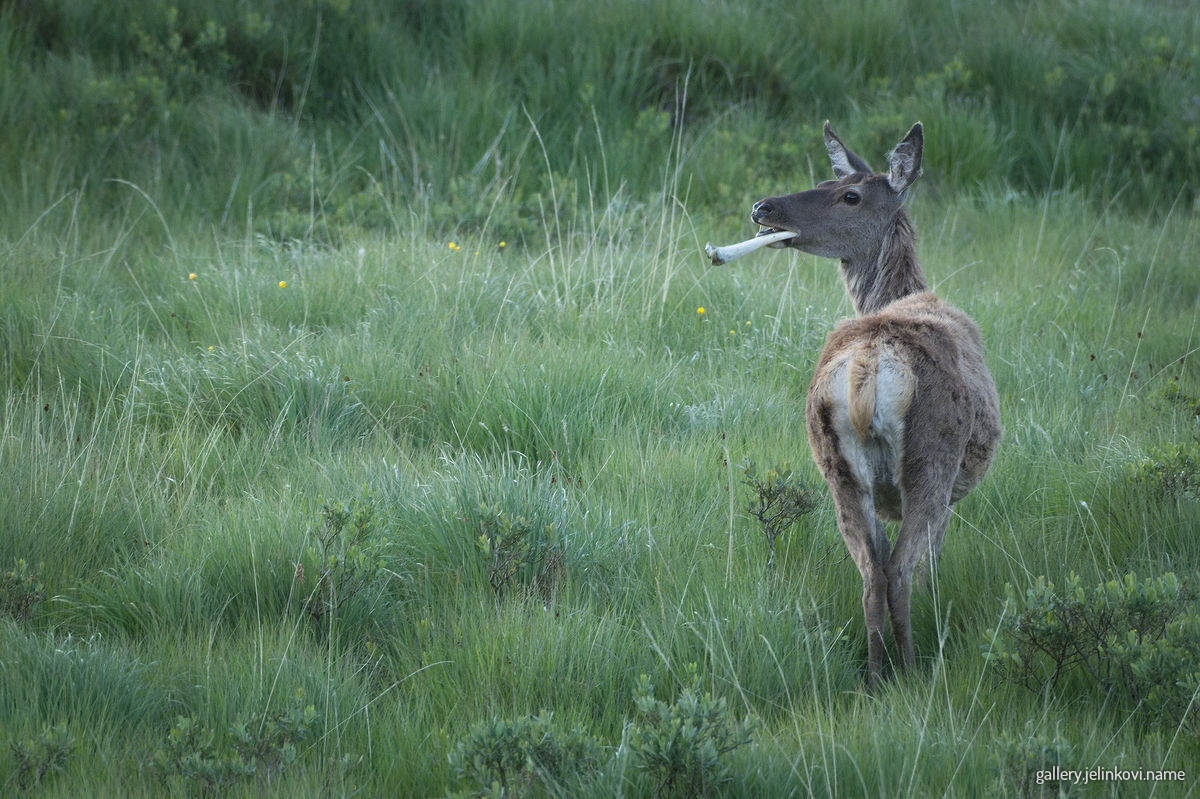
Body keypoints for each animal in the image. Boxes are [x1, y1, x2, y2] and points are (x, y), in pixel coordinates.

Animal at [746, 122, 1002, 687]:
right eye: (827, 181)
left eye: (848, 193)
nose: (763, 207)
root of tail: (868, 369)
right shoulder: (949, 498)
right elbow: (929, 568)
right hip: (932, 458)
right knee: (901, 571)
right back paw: (910, 671)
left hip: (835, 465)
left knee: (871, 574)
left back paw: (875, 674)